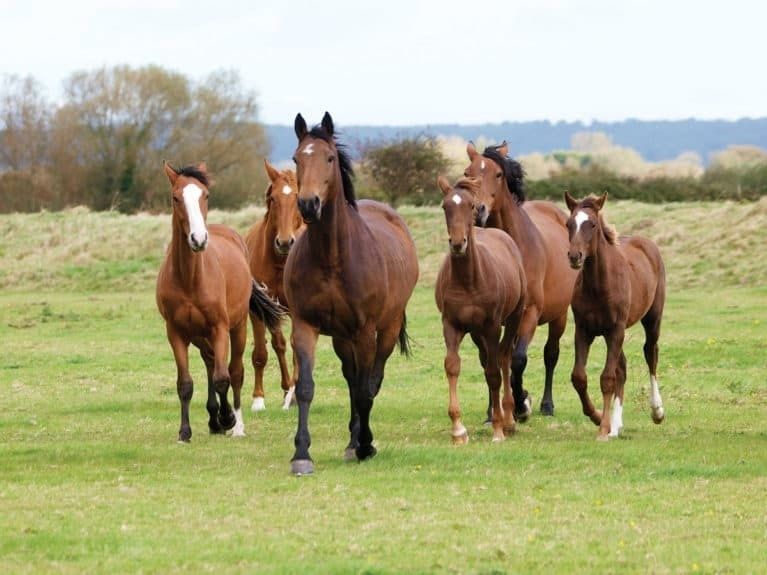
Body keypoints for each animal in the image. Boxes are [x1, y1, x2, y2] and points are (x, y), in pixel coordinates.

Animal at [156, 161, 284, 443]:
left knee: (234, 371)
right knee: (210, 361)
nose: (198, 239)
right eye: (175, 198)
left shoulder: (220, 328)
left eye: (205, 195)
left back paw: (235, 424)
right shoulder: (176, 332)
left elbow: (223, 378)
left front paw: (228, 419)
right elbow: (185, 383)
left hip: (237, 328)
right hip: (200, 335)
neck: (190, 278)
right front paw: (185, 432)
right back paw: (214, 419)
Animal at [284, 112, 419, 475]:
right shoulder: (305, 326)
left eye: (329, 158)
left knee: (370, 381)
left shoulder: (364, 331)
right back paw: (350, 441)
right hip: (342, 338)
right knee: (351, 378)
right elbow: (306, 387)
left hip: (383, 331)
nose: (308, 204)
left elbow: (364, 391)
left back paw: (360, 442)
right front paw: (301, 454)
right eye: (297, 158)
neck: (332, 257)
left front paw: (367, 445)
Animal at [435, 176, 527, 443]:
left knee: (504, 359)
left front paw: (497, 429)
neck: (469, 280)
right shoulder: (451, 325)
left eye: (471, 206)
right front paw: (458, 430)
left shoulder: (492, 326)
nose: (457, 244)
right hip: (476, 333)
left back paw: (508, 420)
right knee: (488, 362)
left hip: (513, 319)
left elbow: (495, 373)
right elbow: (452, 366)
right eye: (445, 206)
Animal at [465, 141, 577, 419]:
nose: (477, 211)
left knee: (550, 354)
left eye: (498, 174)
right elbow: (490, 361)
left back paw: (546, 405)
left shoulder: (529, 312)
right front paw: (493, 411)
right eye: (467, 173)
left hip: (558, 316)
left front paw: (521, 404)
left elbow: (518, 360)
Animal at [565, 192, 666, 440]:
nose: (574, 256)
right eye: (569, 224)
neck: (598, 285)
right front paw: (599, 418)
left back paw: (657, 411)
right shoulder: (583, 330)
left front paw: (603, 429)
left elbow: (607, 378)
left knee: (651, 353)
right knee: (623, 367)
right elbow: (579, 377)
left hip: (651, 319)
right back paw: (616, 425)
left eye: (591, 224)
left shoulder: (615, 329)